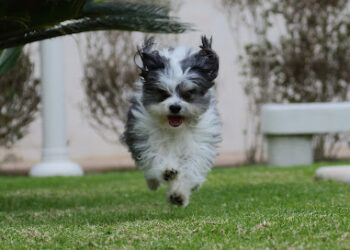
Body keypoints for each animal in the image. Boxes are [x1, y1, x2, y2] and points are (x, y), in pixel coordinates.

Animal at [121, 35, 221, 207]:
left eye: (188, 94)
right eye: (163, 93)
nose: (175, 107)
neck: (175, 129)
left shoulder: (197, 145)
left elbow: (190, 168)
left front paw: (178, 195)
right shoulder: (146, 136)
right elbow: (156, 154)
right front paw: (167, 170)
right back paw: (154, 182)